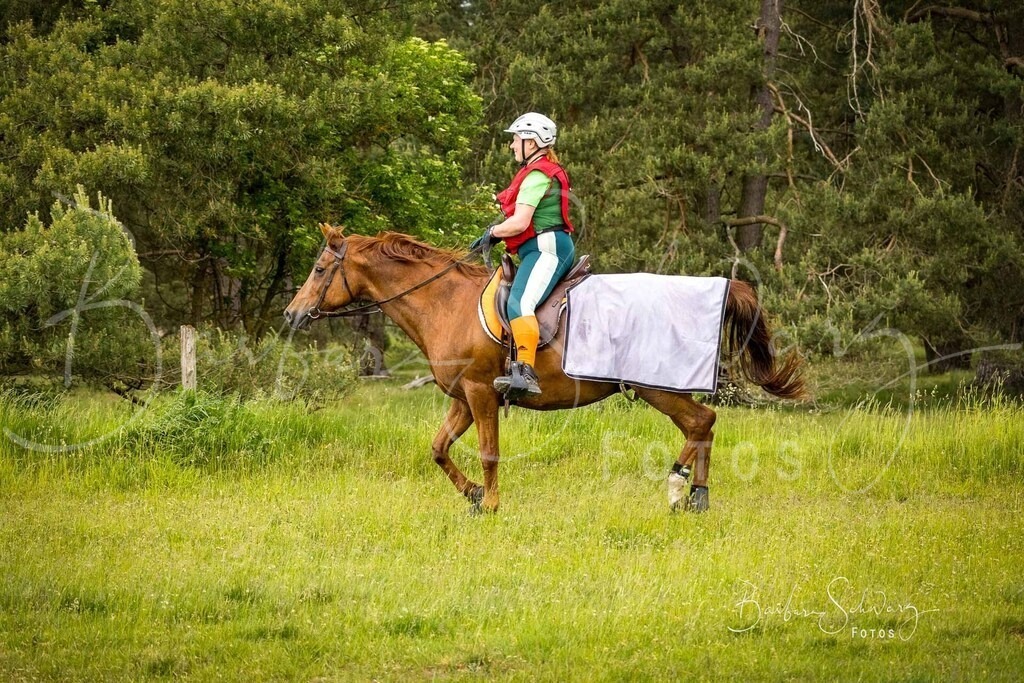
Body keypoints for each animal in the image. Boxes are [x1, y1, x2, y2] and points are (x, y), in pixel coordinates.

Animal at [284, 223, 805, 514]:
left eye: (318, 269)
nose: (291, 314)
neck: (445, 302)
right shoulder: (463, 399)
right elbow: (438, 450)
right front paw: (473, 495)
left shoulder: (481, 394)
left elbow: (489, 453)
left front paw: (490, 504)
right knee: (704, 425)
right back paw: (694, 495)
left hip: (657, 386)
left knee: (701, 421)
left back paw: (681, 490)